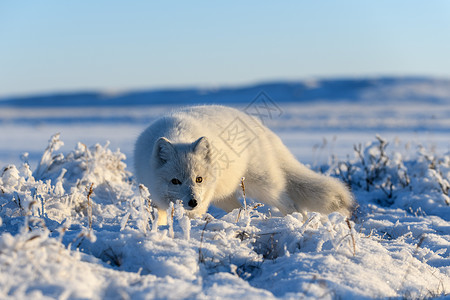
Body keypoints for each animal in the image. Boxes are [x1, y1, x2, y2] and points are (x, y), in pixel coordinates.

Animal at [134, 104, 352, 224]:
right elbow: (159, 218)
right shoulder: (154, 196)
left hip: (263, 187)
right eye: (175, 181)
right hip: (223, 196)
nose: (193, 202)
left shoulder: (203, 198)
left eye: (199, 179)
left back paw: (301, 223)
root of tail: (260, 125)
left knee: (290, 203)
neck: (177, 134)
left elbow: (190, 217)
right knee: (240, 208)